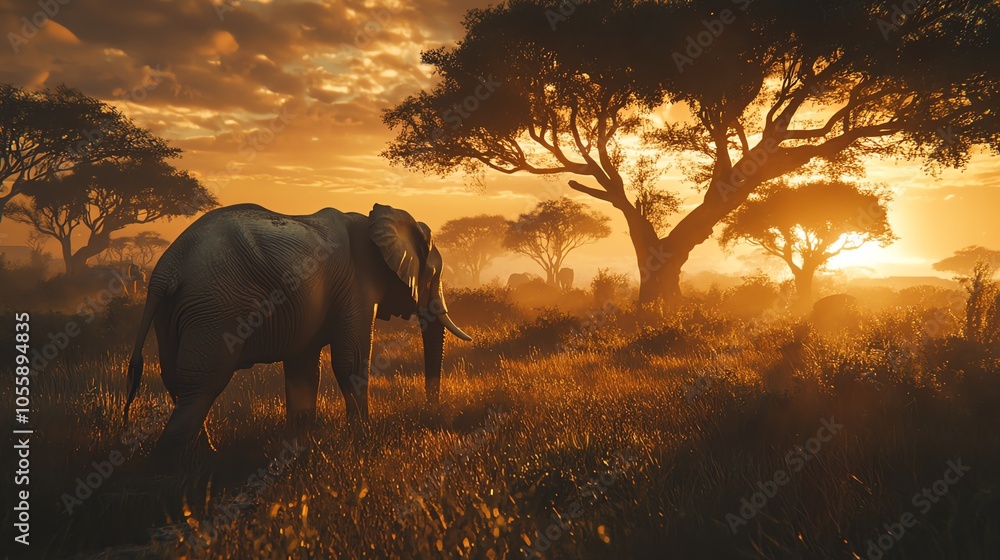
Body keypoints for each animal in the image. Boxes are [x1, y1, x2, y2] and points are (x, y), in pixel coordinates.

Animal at [124, 203, 472, 462]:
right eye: (434, 274)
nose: (432, 412)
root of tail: (166, 267)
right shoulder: (356, 286)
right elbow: (350, 362)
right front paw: (363, 441)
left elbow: (304, 369)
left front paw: (297, 446)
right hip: (214, 308)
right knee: (201, 384)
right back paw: (175, 466)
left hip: (175, 313)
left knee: (178, 381)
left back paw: (200, 456)